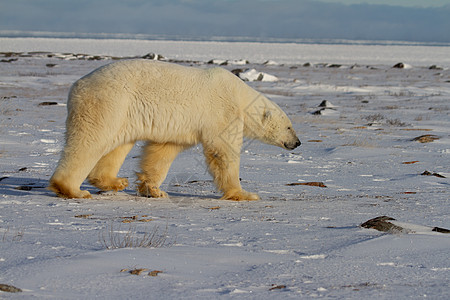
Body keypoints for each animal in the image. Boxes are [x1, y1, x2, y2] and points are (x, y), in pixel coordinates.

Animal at [48, 59, 298, 200]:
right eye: (289, 126)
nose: (297, 142)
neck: (241, 96)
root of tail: (77, 85)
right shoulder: (222, 112)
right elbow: (222, 152)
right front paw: (244, 194)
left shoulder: (181, 127)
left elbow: (163, 151)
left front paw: (154, 190)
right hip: (109, 102)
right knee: (90, 141)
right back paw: (73, 190)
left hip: (123, 114)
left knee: (118, 145)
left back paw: (116, 181)